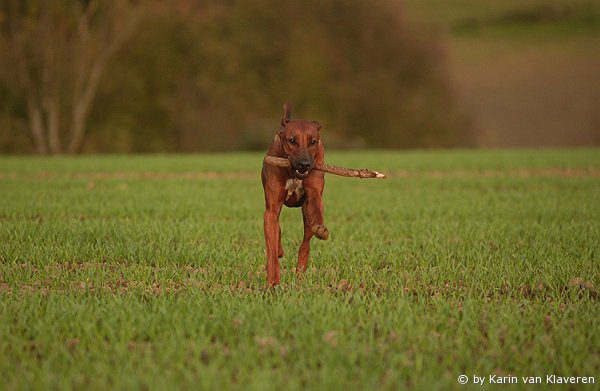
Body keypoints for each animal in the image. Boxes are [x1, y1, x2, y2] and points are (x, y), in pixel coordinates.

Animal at [262, 102, 328, 286]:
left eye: (313, 142)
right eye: (292, 140)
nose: (304, 164)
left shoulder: (313, 195)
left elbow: (316, 208)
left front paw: (321, 228)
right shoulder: (271, 211)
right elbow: (271, 252)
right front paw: (273, 282)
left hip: (305, 212)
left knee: (305, 244)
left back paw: (300, 274)